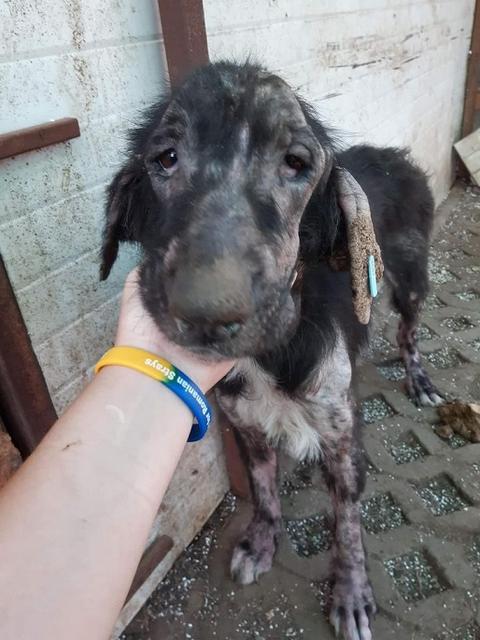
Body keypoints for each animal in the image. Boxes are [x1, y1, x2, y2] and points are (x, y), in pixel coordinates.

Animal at [101, 62, 442, 640]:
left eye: (296, 162)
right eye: (165, 157)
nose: (207, 312)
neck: (270, 357)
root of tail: (394, 153)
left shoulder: (342, 434)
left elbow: (348, 522)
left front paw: (351, 591)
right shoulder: (247, 426)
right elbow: (263, 491)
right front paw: (262, 543)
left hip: (412, 282)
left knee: (408, 334)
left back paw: (418, 379)